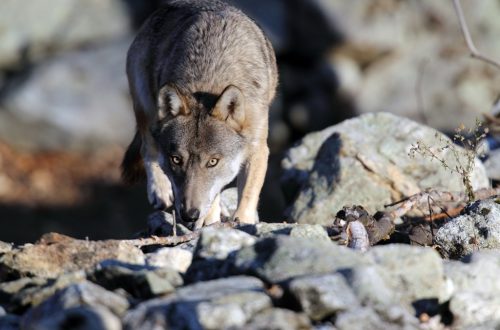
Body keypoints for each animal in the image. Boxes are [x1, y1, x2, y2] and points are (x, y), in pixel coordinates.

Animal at [120, 0, 278, 229]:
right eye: (176, 159)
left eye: (212, 162)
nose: (188, 215)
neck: (211, 77)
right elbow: (210, 201)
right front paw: (210, 223)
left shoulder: (258, 148)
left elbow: (247, 193)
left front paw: (243, 221)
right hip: (147, 108)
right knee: (147, 147)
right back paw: (160, 192)